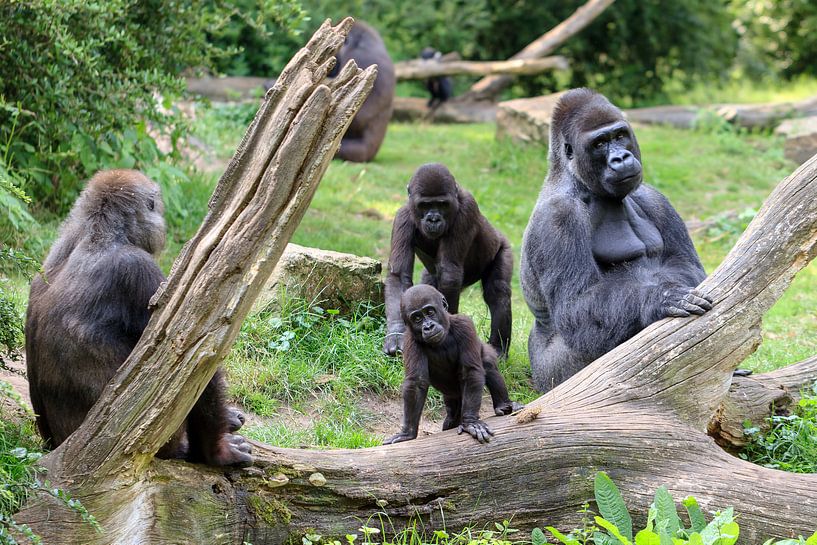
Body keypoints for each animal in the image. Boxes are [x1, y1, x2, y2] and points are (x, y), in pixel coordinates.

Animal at [382, 162, 510, 356]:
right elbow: (399, 277)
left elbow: (449, 273)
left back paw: (498, 348)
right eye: (425, 205)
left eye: (442, 204)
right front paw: (396, 334)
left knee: (498, 291)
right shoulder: (402, 217)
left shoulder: (467, 209)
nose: (434, 219)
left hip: (502, 247)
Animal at [384, 282, 524, 444]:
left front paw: (470, 422)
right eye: (417, 318)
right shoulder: (409, 341)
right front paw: (407, 432)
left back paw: (503, 404)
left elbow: (470, 370)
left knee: (488, 364)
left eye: (430, 312)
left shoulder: (465, 325)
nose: (428, 326)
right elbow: (417, 383)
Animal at [520, 89, 712, 394]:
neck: (578, 181)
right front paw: (660, 299)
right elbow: (577, 306)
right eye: (599, 143)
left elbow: (689, 267)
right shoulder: (558, 218)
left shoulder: (656, 199)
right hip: (551, 380)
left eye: (620, 135)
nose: (620, 158)